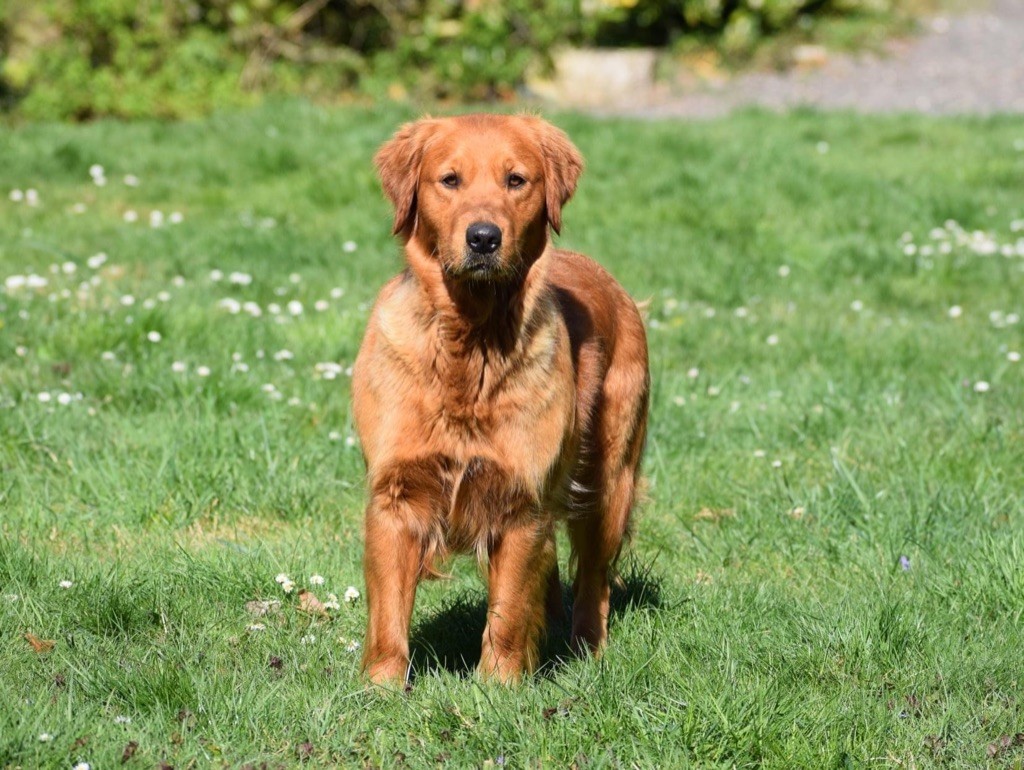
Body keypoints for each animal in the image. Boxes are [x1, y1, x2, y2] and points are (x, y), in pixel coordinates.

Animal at [354, 114, 647, 683]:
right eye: (449, 180)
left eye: (516, 180)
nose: (484, 238)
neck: (469, 347)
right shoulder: (394, 496)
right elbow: (388, 614)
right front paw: (380, 687)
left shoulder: (520, 500)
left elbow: (509, 611)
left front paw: (499, 687)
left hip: (610, 480)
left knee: (594, 579)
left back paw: (586, 649)